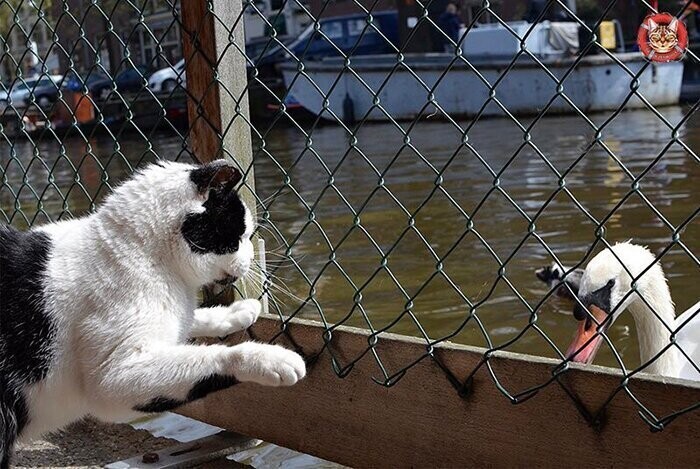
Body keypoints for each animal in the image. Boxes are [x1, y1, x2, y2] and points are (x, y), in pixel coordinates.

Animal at [0, 159, 306, 466]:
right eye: (240, 235)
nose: (252, 255)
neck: (142, 253)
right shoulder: (114, 377)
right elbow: (214, 358)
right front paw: (269, 358)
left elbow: (192, 318)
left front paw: (235, 312)